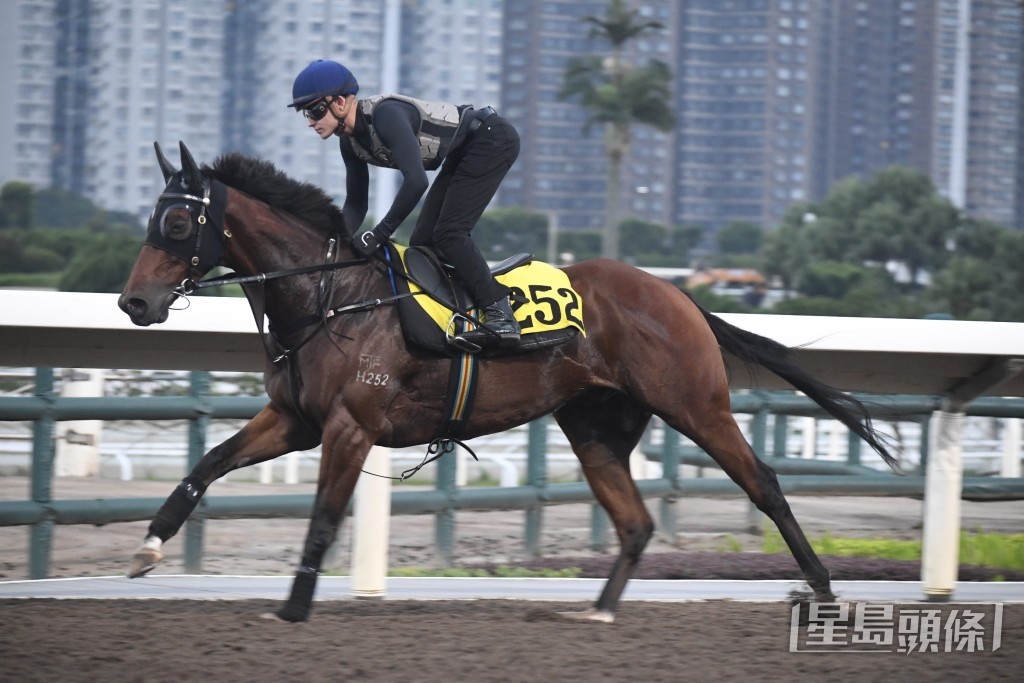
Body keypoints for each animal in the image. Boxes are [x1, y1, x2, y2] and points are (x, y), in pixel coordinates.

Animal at [119, 141, 897, 622]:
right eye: (151, 218)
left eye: (179, 222)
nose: (134, 303)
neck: (330, 296)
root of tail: (678, 295)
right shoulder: (295, 420)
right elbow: (207, 463)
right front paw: (148, 547)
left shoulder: (349, 426)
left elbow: (323, 519)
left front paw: (291, 608)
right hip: (595, 427)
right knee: (636, 521)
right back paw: (598, 610)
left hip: (696, 404)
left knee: (762, 481)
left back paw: (823, 589)